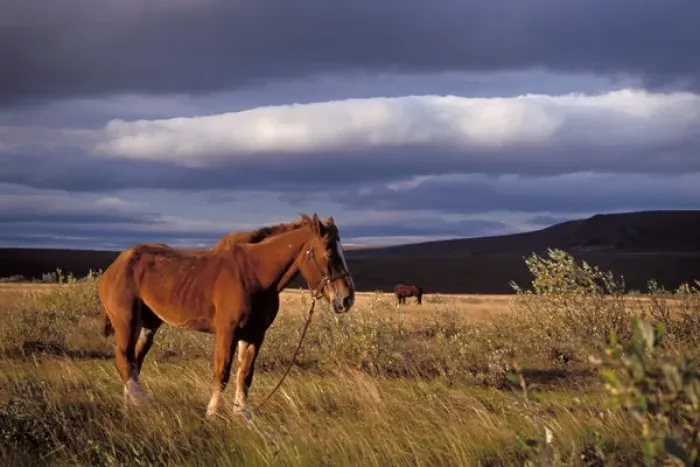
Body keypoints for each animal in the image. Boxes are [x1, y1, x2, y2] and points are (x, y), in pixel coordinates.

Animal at [98, 213, 355, 419]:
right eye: (329, 253)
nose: (346, 299)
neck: (255, 275)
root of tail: (115, 265)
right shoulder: (227, 331)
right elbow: (222, 371)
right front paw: (213, 413)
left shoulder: (254, 335)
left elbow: (245, 375)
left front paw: (241, 414)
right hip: (126, 321)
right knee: (123, 359)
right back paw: (143, 402)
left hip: (149, 324)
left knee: (134, 359)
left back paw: (131, 402)